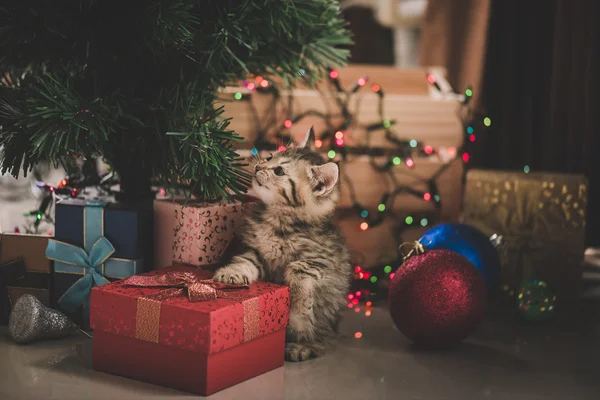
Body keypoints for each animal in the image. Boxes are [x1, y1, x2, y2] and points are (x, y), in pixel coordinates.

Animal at [213, 127, 352, 362]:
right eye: (270, 156)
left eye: (278, 170)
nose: (259, 166)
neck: (277, 220)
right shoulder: (256, 250)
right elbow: (245, 261)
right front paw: (231, 273)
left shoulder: (323, 262)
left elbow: (296, 270)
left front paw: (298, 313)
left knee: (322, 338)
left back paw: (302, 346)